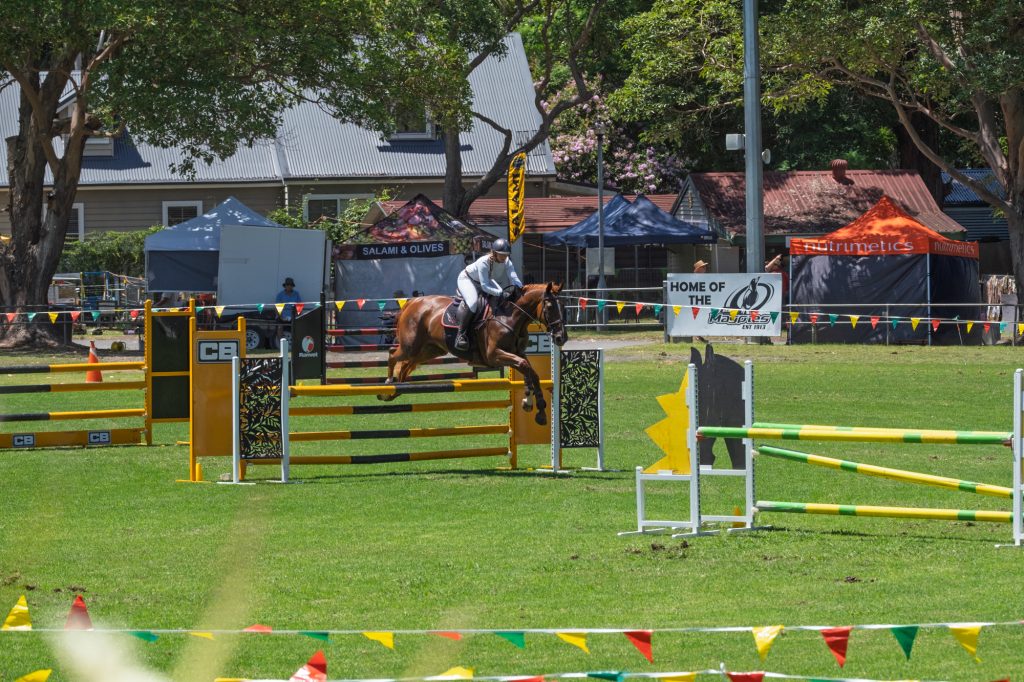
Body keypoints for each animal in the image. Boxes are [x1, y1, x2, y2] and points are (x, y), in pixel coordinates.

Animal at [381, 282, 568, 425]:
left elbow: (531, 373)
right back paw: (388, 384)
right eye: (549, 307)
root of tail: (412, 303)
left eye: (563, 306)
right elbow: (525, 366)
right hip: (411, 346)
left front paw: (535, 407)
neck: (512, 318)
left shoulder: (518, 353)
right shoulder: (494, 355)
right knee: (392, 354)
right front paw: (532, 404)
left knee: (405, 365)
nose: (561, 338)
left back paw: (395, 391)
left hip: (430, 350)